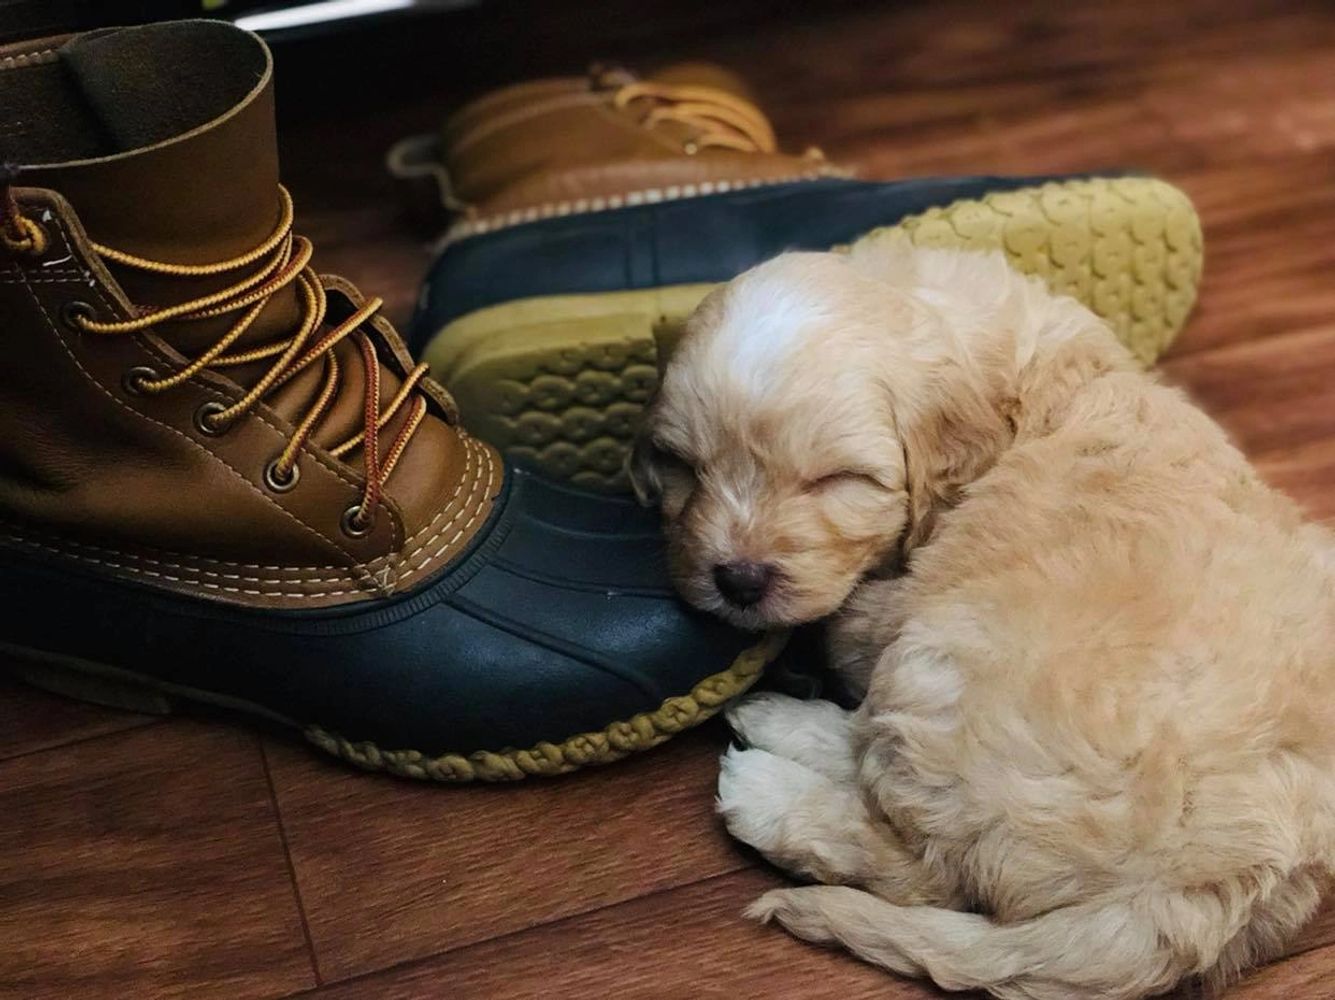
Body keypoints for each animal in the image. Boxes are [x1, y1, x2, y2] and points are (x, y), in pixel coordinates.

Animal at [630, 244, 1335, 998]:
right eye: (682, 467)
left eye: (836, 480)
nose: (737, 579)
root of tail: (1215, 888)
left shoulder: (892, 605)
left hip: (946, 656)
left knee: (927, 861)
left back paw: (767, 782)